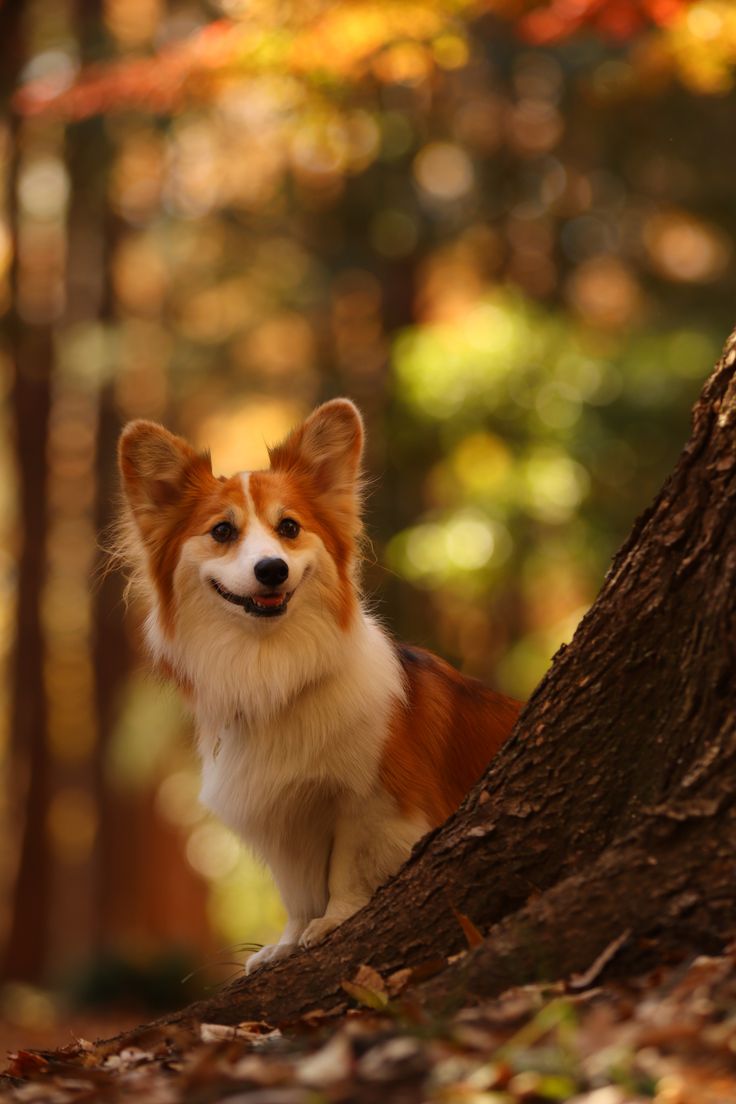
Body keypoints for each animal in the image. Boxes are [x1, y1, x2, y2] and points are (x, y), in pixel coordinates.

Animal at [118, 401, 520, 971]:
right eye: (222, 532)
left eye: (289, 527)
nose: (271, 569)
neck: (272, 667)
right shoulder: (282, 816)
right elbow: (297, 890)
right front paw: (287, 942)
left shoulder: (375, 800)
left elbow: (348, 865)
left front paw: (334, 921)